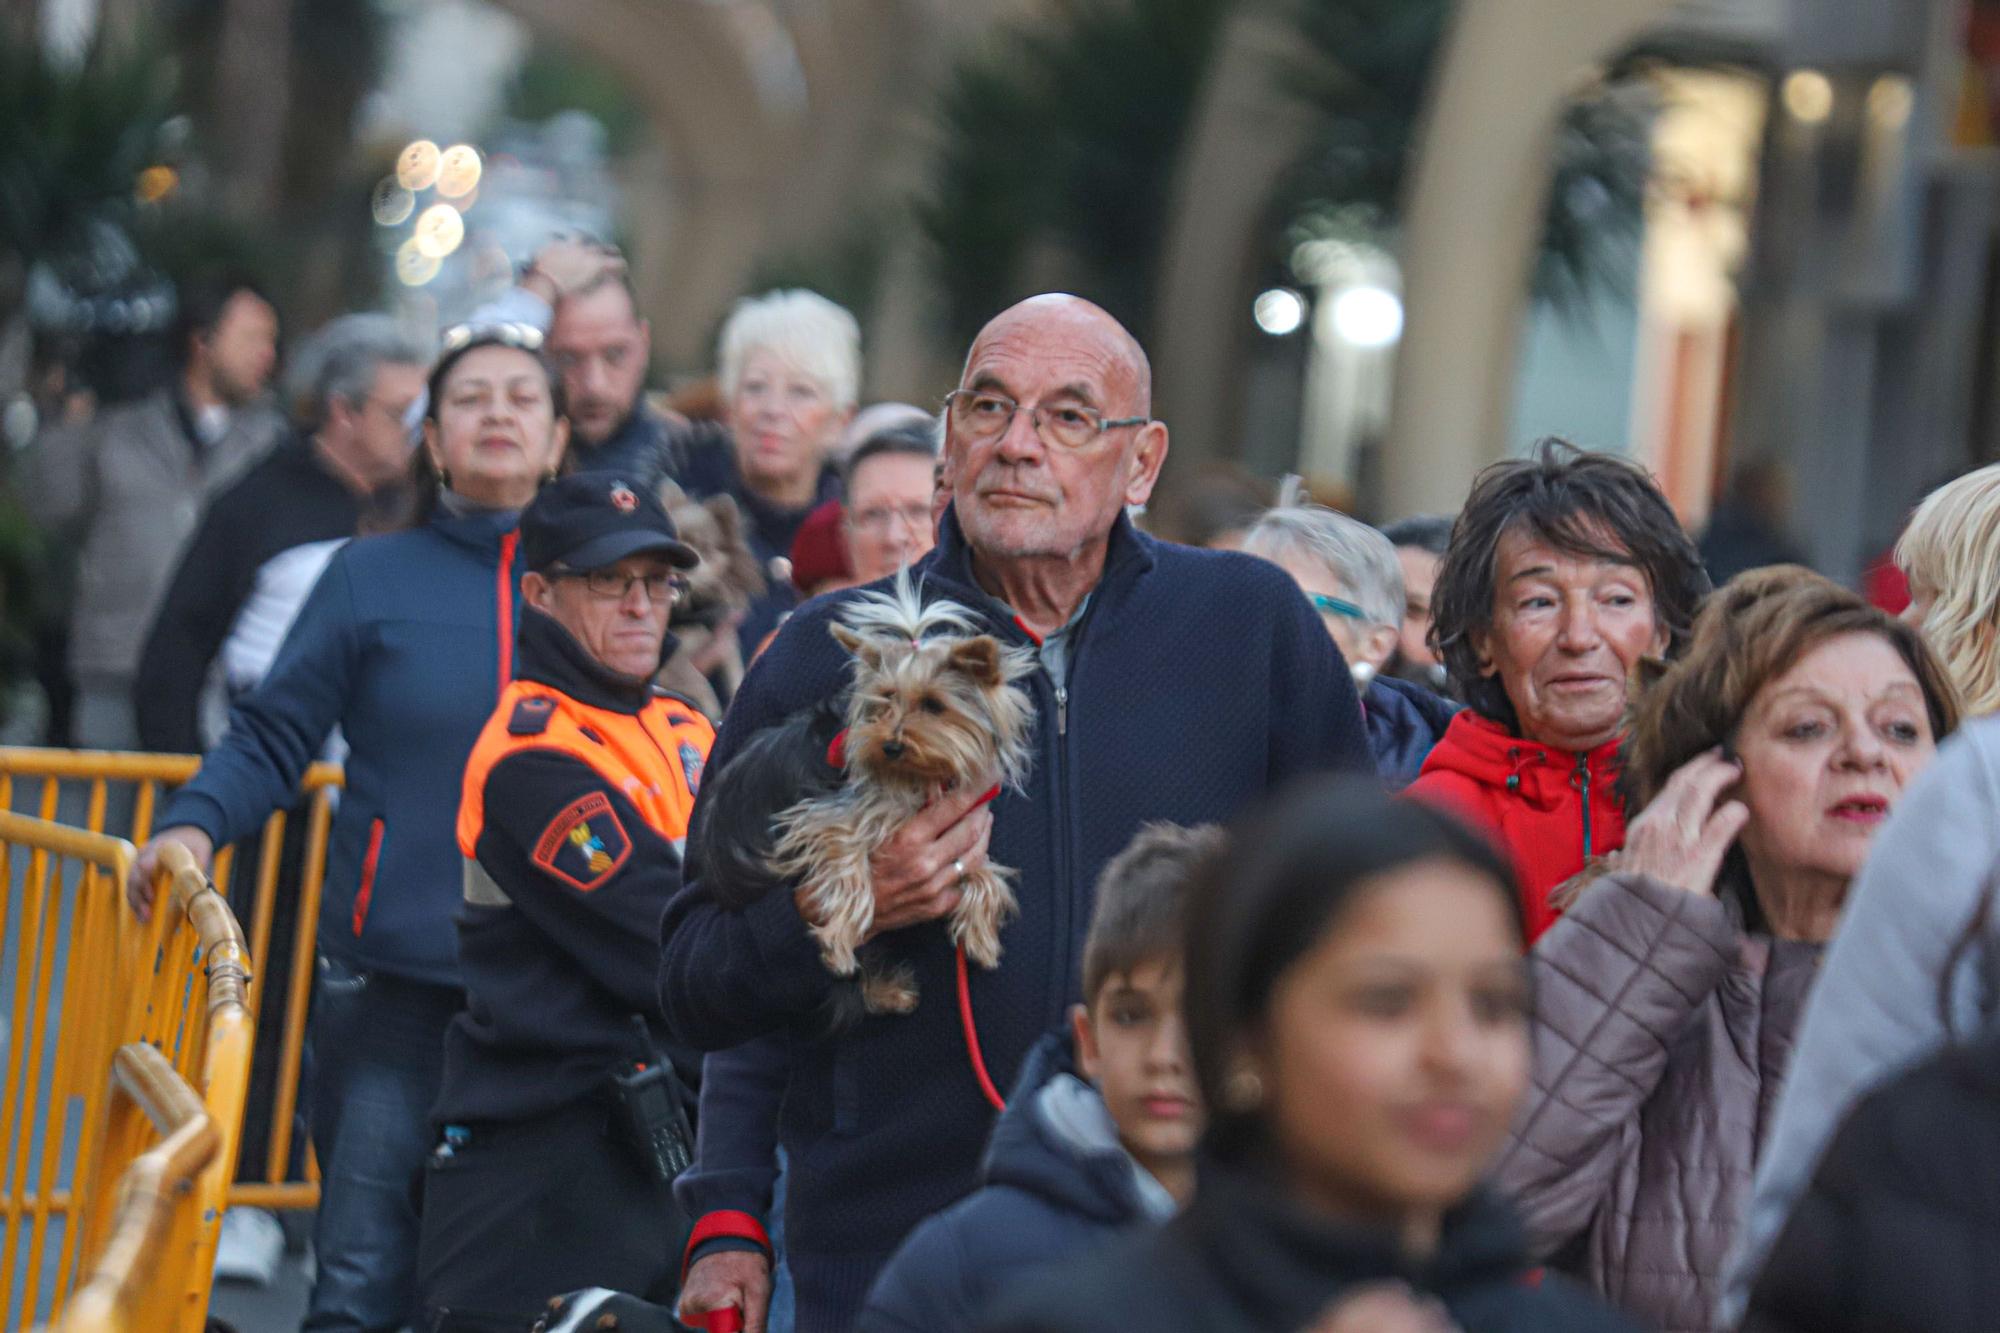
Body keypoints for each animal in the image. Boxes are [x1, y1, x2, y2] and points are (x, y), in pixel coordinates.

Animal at [688, 572, 1032, 1016]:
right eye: (885, 699)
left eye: (933, 705)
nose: (891, 746)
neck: (916, 775)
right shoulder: (826, 818)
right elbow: (849, 873)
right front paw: (838, 943)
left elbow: (987, 873)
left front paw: (981, 937)